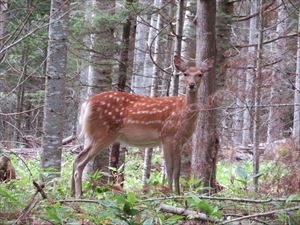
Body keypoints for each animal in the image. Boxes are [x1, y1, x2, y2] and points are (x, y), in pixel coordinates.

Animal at [72, 55, 213, 197]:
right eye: (185, 74)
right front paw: (169, 194)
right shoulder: (167, 136)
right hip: (102, 133)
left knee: (77, 158)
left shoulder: (180, 141)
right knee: (79, 161)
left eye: (200, 74)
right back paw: (79, 195)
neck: (183, 114)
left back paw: (72, 193)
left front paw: (178, 195)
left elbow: (177, 170)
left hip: (91, 135)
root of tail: (86, 104)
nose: (191, 85)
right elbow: (169, 168)